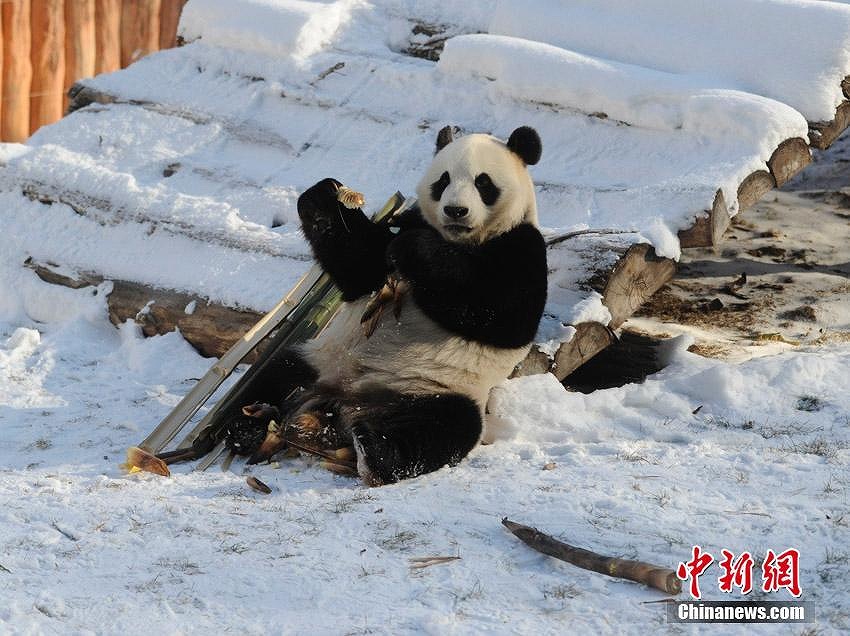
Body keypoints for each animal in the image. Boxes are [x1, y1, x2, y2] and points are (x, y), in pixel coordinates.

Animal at [232, 124, 548, 484]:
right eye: (443, 181)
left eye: (483, 183)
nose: (455, 211)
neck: (456, 239)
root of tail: (345, 402)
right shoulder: (409, 223)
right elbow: (361, 267)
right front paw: (325, 197)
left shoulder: (521, 248)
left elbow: (501, 316)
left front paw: (415, 250)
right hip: (320, 359)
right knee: (277, 372)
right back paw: (246, 426)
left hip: (436, 389)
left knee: (443, 427)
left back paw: (376, 450)